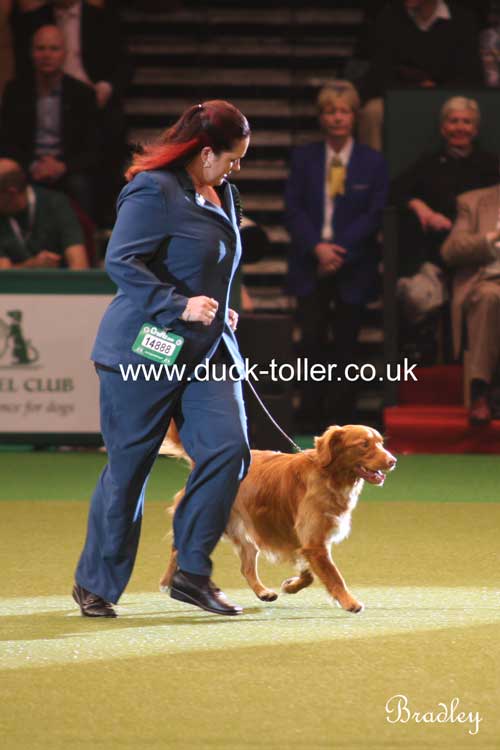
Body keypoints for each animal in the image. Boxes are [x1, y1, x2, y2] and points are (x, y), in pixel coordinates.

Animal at [159, 426, 394, 612]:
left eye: (381, 443)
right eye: (364, 444)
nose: (393, 461)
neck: (329, 475)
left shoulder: (305, 541)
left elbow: (309, 574)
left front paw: (291, 585)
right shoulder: (314, 543)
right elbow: (335, 576)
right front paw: (349, 602)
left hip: (248, 534)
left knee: (246, 568)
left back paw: (262, 591)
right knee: (177, 551)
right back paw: (169, 583)